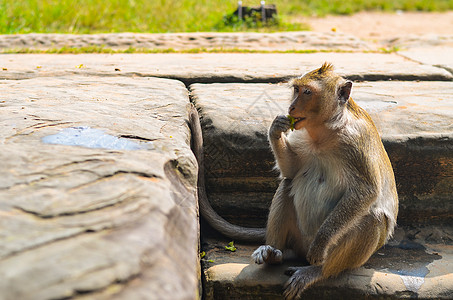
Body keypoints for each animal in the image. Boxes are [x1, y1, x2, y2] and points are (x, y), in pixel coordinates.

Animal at [249, 62, 398, 298]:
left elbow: (366, 191)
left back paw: (316, 271)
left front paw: (321, 243)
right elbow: (292, 170)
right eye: (296, 90)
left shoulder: (356, 141)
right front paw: (275, 128)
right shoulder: (300, 134)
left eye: (308, 92)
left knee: (373, 219)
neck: (325, 130)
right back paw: (273, 253)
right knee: (287, 183)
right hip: (298, 238)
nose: (291, 108)